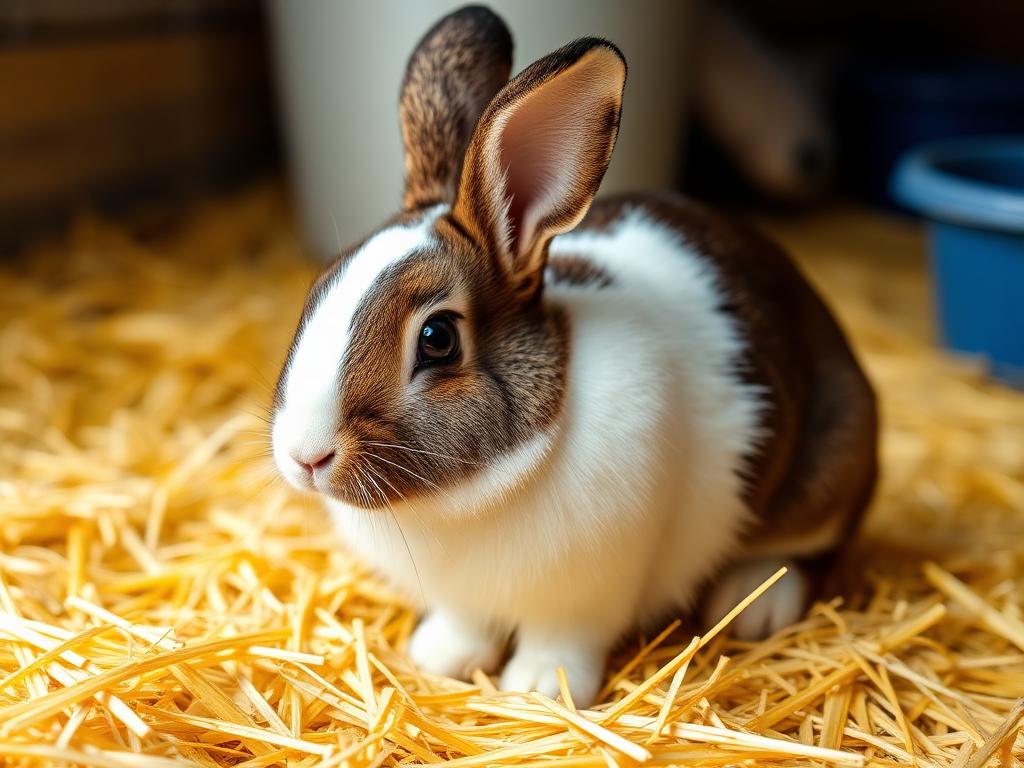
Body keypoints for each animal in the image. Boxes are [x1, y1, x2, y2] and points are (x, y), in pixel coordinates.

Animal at [271, 5, 877, 708]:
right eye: (319, 288)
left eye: (437, 339)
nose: (306, 457)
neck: (468, 498)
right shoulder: (463, 601)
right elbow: (464, 626)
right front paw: (441, 658)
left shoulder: (587, 598)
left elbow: (562, 642)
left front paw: (541, 688)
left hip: (823, 472)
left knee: (801, 547)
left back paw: (755, 603)